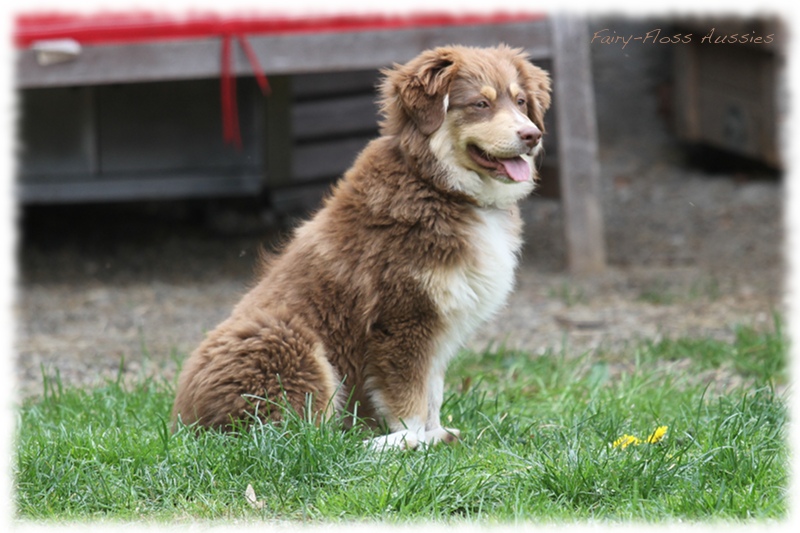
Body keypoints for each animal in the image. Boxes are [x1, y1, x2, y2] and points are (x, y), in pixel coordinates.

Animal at [173, 44, 552, 448]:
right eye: (480, 103)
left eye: (521, 101)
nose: (532, 135)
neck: (438, 186)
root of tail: (187, 426)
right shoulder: (402, 319)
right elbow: (409, 400)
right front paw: (416, 440)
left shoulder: (439, 325)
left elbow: (432, 391)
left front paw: (436, 434)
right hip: (291, 344)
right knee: (305, 440)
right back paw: (382, 444)